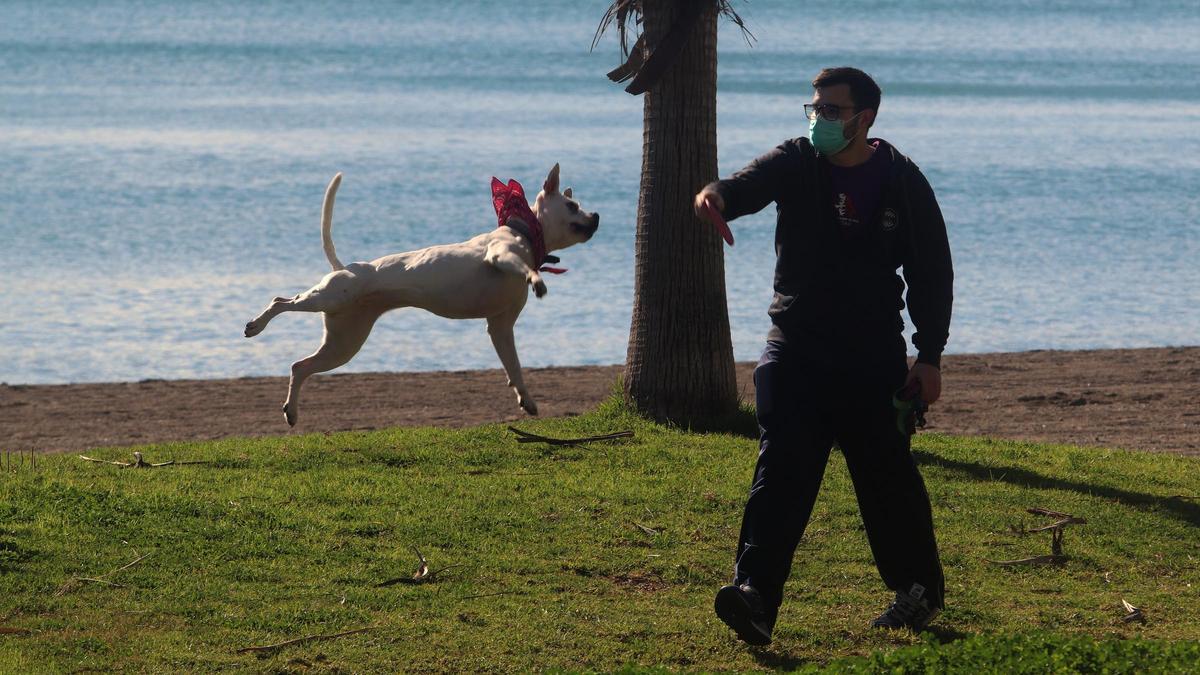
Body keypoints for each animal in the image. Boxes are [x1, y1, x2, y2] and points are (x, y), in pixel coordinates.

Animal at [243, 163, 600, 422]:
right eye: (572, 205)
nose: (596, 216)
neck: (525, 230)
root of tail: (344, 266)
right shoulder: (500, 255)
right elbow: (519, 265)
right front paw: (535, 278)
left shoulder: (501, 326)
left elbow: (514, 366)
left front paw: (526, 399)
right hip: (330, 298)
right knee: (282, 302)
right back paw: (257, 325)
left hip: (343, 343)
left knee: (300, 366)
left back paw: (292, 410)